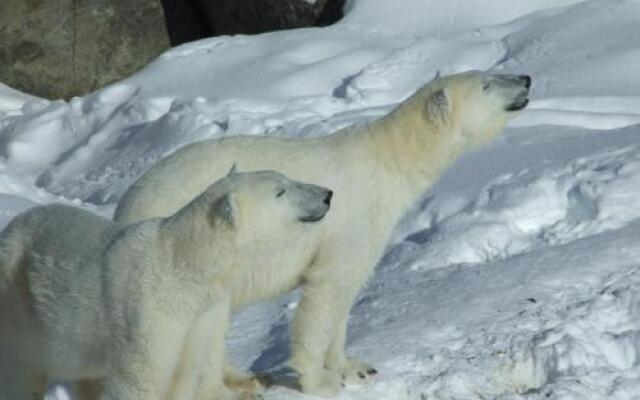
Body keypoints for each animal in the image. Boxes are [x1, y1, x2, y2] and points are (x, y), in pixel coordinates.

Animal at [0, 169, 332, 400]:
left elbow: (184, 373)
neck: (181, 266)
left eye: (285, 178)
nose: (327, 194)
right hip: (18, 306)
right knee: (21, 373)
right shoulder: (146, 315)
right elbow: (141, 381)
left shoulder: (198, 319)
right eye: (280, 191)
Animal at [114, 70, 528, 396]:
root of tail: (124, 207)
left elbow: (348, 294)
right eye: (486, 83)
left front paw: (354, 366)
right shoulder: (353, 218)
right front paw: (320, 381)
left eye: (491, 73)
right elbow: (328, 290)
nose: (525, 78)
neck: (388, 161)